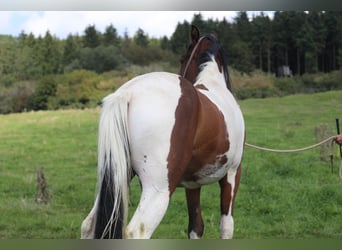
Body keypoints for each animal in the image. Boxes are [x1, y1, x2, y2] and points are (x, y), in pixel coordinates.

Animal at [81, 25, 244, 238]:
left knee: (89, 224)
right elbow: (226, 225)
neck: (214, 85)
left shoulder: (193, 184)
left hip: (116, 179)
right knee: (137, 232)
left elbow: (196, 226)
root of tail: (127, 92)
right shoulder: (232, 173)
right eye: (183, 58)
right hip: (158, 190)